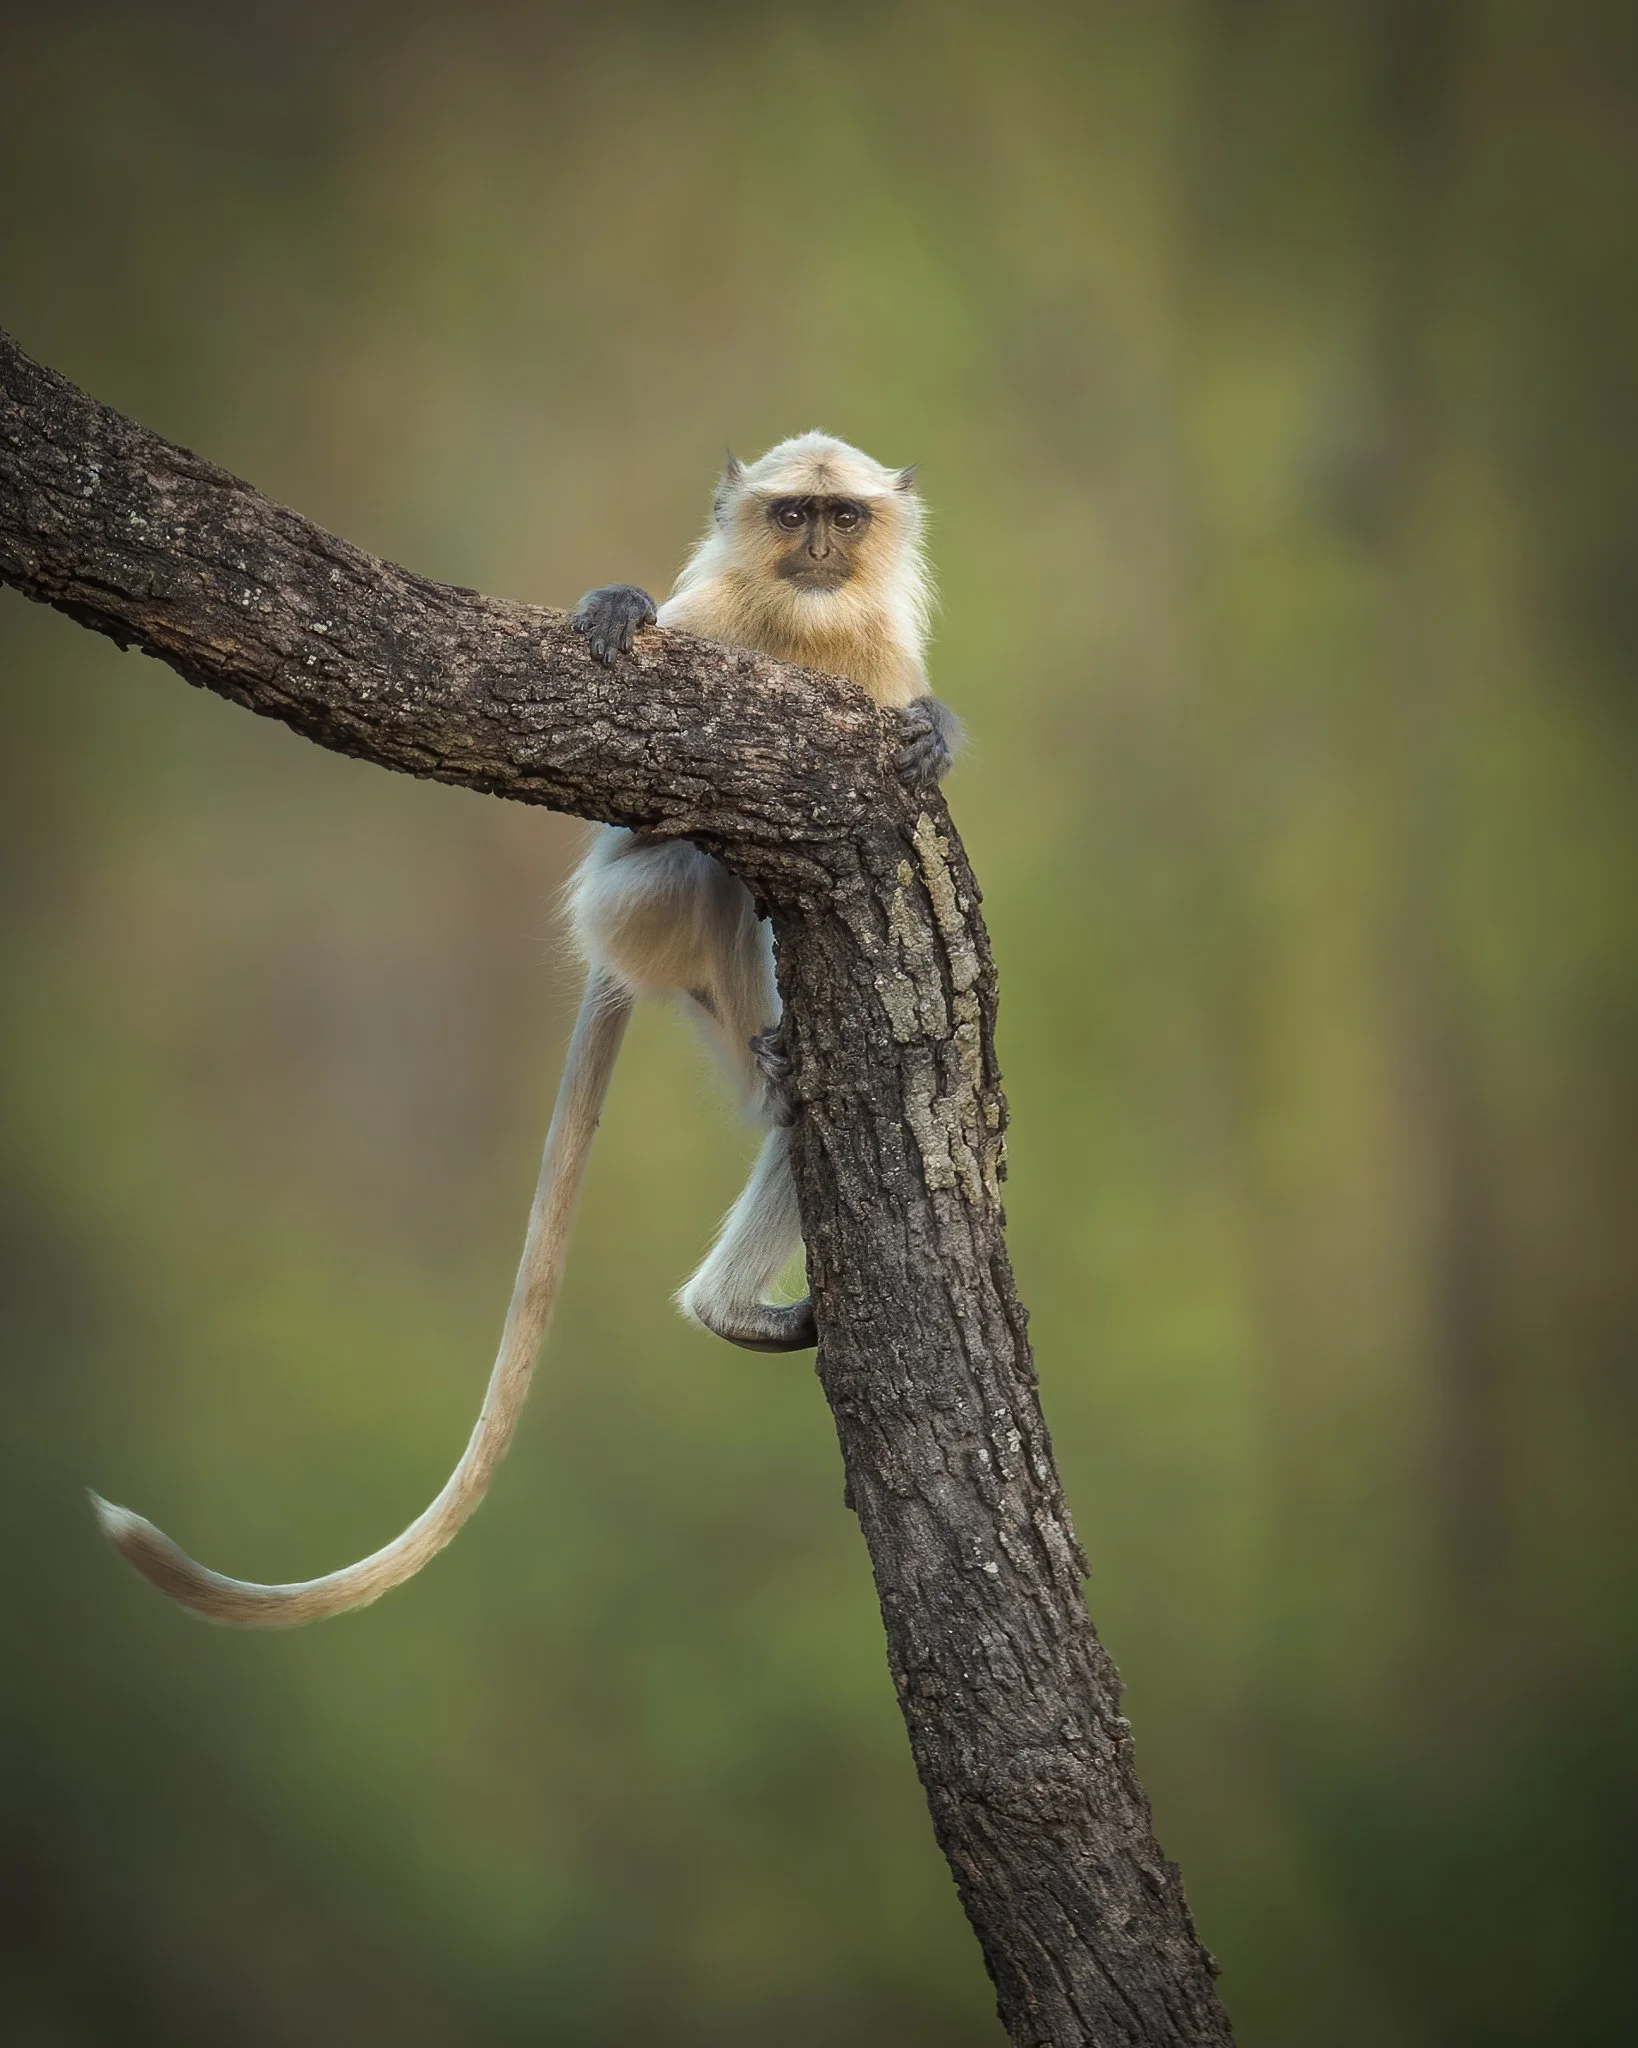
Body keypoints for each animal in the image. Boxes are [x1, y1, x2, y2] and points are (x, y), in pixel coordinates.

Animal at [90, 433, 960, 1627]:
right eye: (793, 515)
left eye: (845, 517)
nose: (822, 551)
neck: (801, 624)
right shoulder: (709, 618)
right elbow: (619, 796)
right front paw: (618, 606)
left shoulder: (881, 660)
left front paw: (940, 734)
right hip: (632, 917)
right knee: (706, 874)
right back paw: (771, 1086)